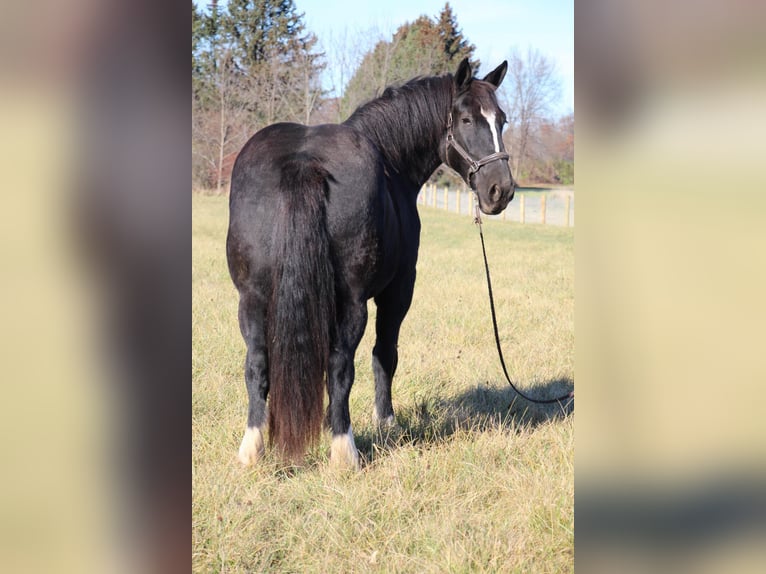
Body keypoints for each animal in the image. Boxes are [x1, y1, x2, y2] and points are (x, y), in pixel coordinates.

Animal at [228, 58, 516, 470]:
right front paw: (386, 422)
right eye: (466, 119)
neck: (390, 162)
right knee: (340, 367)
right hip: (351, 302)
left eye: (502, 120)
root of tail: (304, 163)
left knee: (256, 364)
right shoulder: (398, 290)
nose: (501, 191)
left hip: (251, 298)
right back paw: (344, 450)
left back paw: (253, 448)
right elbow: (384, 356)